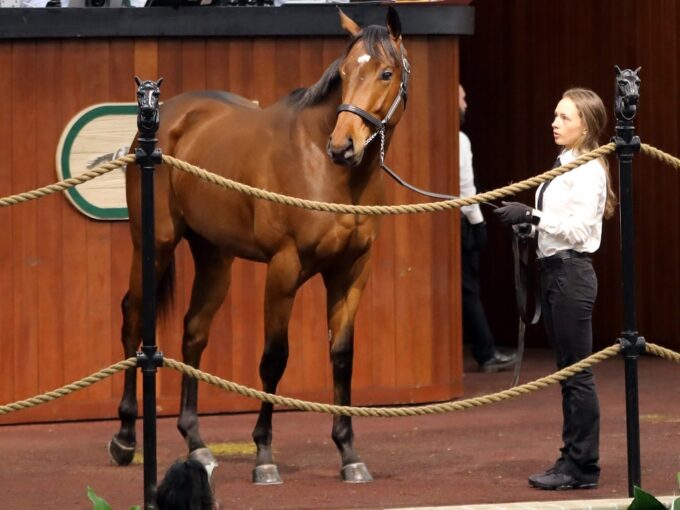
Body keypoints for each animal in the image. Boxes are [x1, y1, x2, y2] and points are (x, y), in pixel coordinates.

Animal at [110, 7, 410, 484]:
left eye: (386, 72)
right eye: (344, 73)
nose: (342, 145)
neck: (324, 168)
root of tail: (157, 128)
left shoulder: (351, 272)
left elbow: (342, 356)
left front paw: (349, 452)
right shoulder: (284, 268)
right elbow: (274, 358)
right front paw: (263, 455)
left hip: (215, 258)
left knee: (194, 332)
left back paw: (196, 444)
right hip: (153, 246)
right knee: (134, 319)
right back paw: (124, 438)